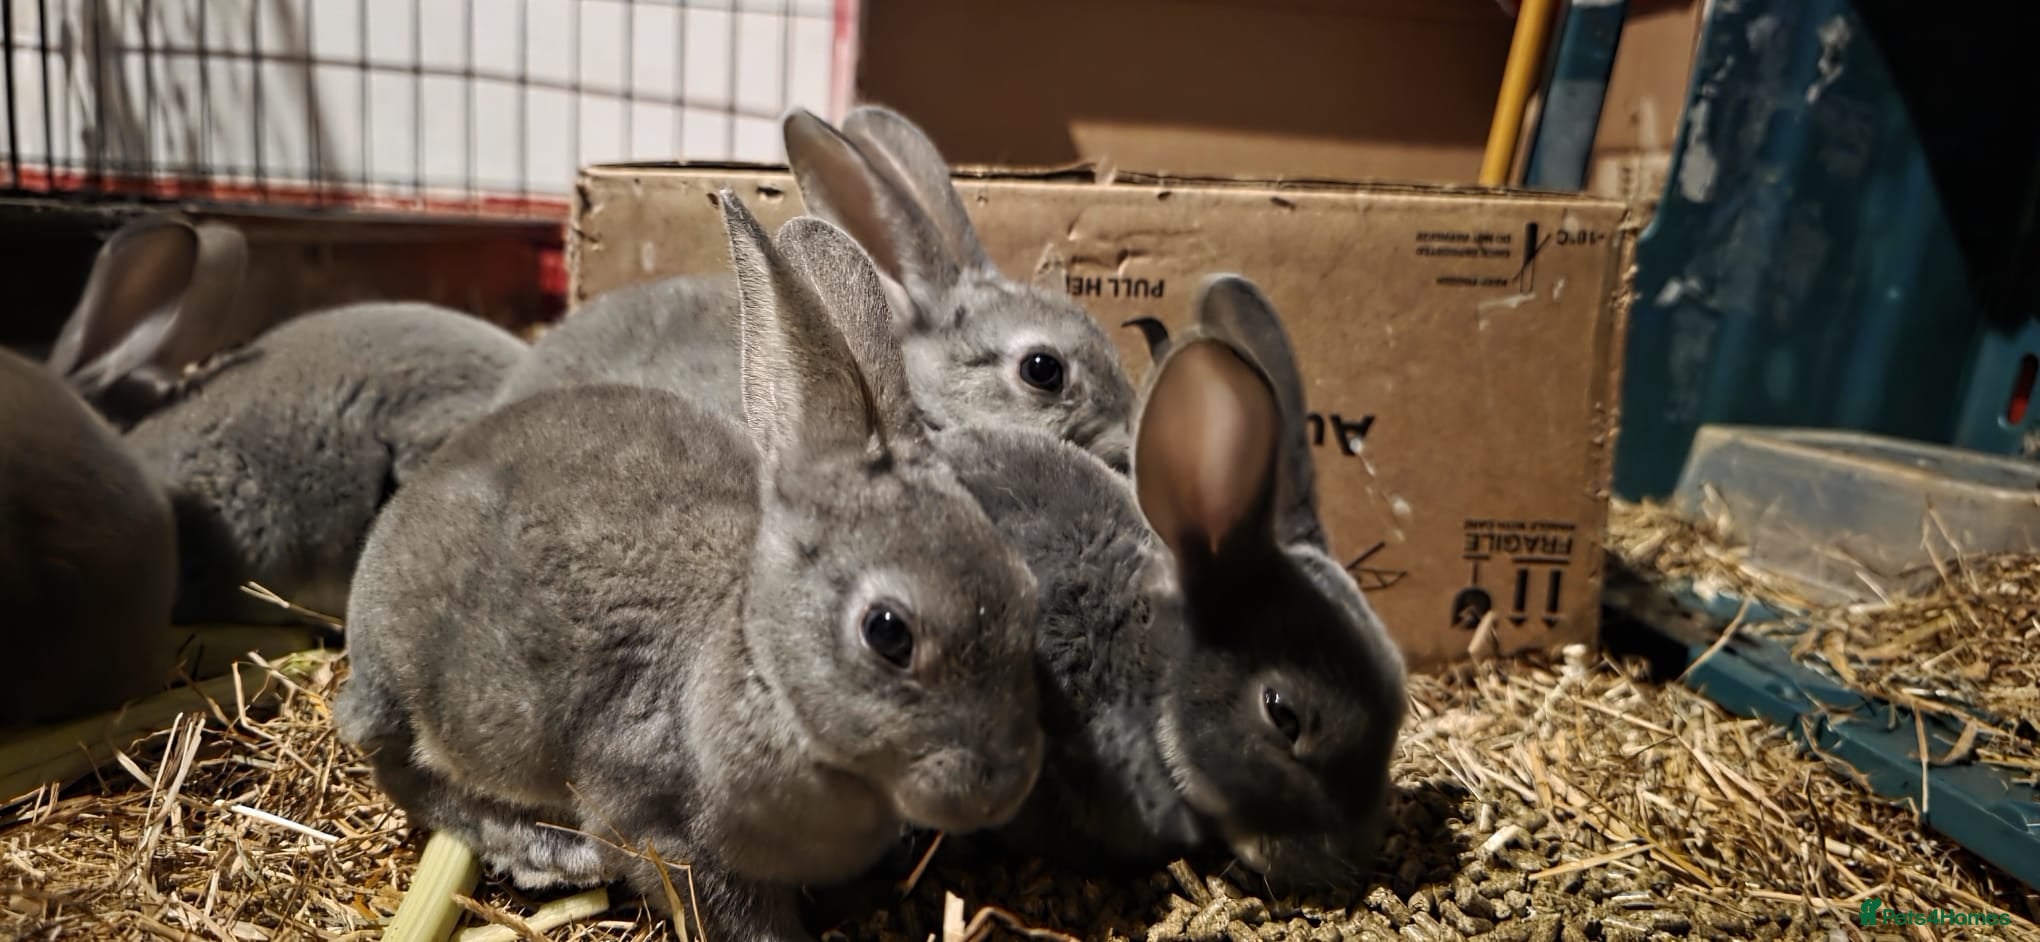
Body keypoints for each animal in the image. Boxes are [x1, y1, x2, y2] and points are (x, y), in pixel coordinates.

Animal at [332, 190, 1047, 942]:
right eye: (887, 633)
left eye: (1027, 590)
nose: (1000, 788)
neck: (761, 669)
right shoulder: (667, 835)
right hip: (429, 699)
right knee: (401, 765)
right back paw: (541, 851)